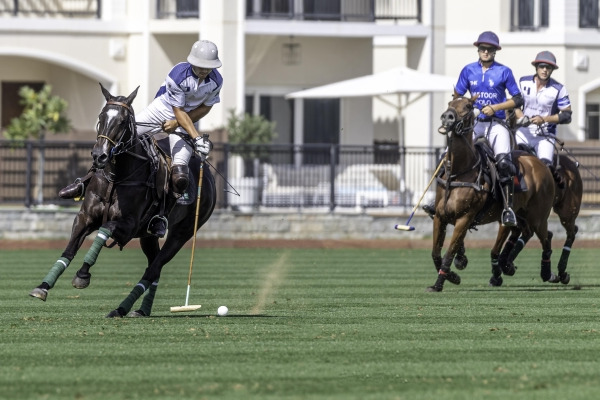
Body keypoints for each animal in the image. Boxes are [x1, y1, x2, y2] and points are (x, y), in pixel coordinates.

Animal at [30, 83, 217, 318]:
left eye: (122, 121)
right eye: (101, 117)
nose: (99, 155)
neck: (117, 178)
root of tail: (208, 175)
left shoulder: (128, 225)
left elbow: (104, 230)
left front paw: (82, 275)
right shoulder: (84, 217)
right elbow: (69, 250)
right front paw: (43, 287)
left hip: (181, 233)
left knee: (154, 268)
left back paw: (121, 308)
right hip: (148, 236)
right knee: (154, 267)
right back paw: (141, 310)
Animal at [428, 95, 556, 292]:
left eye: (468, 105)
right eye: (450, 103)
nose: (447, 117)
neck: (459, 172)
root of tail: (541, 164)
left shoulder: (465, 218)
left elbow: (449, 252)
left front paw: (439, 283)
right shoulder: (440, 217)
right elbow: (436, 252)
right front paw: (454, 275)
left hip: (537, 216)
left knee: (546, 239)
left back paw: (548, 274)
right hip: (522, 215)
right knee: (526, 232)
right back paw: (508, 266)